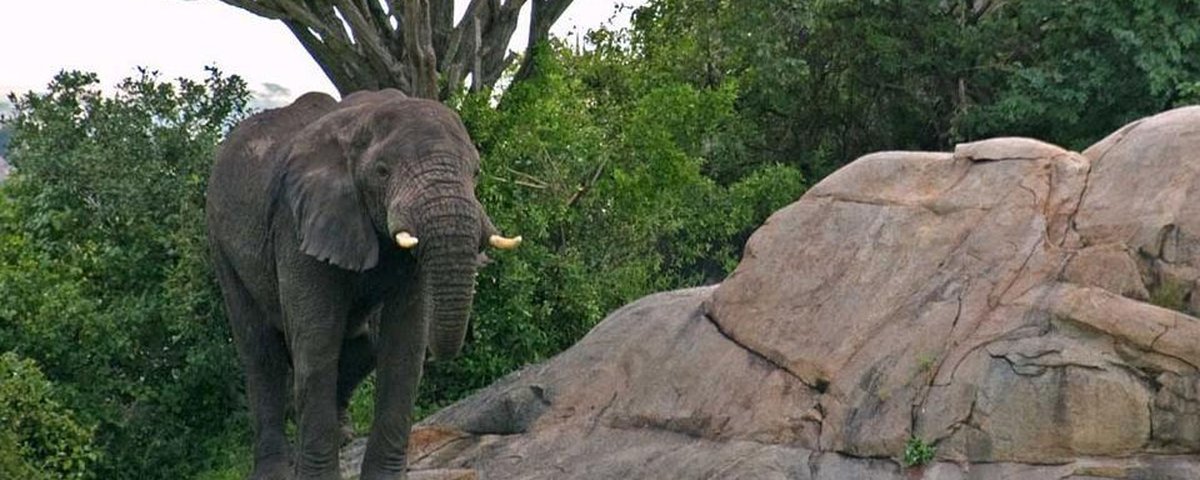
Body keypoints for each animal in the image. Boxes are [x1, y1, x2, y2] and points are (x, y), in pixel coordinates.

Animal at [208, 90, 518, 480]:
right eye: (382, 172)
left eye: (475, 171)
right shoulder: (296, 221)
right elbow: (316, 344)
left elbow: (404, 347)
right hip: (221, 244)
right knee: (261, 354)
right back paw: (275, 470)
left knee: (361, 344)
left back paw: (342, 436)